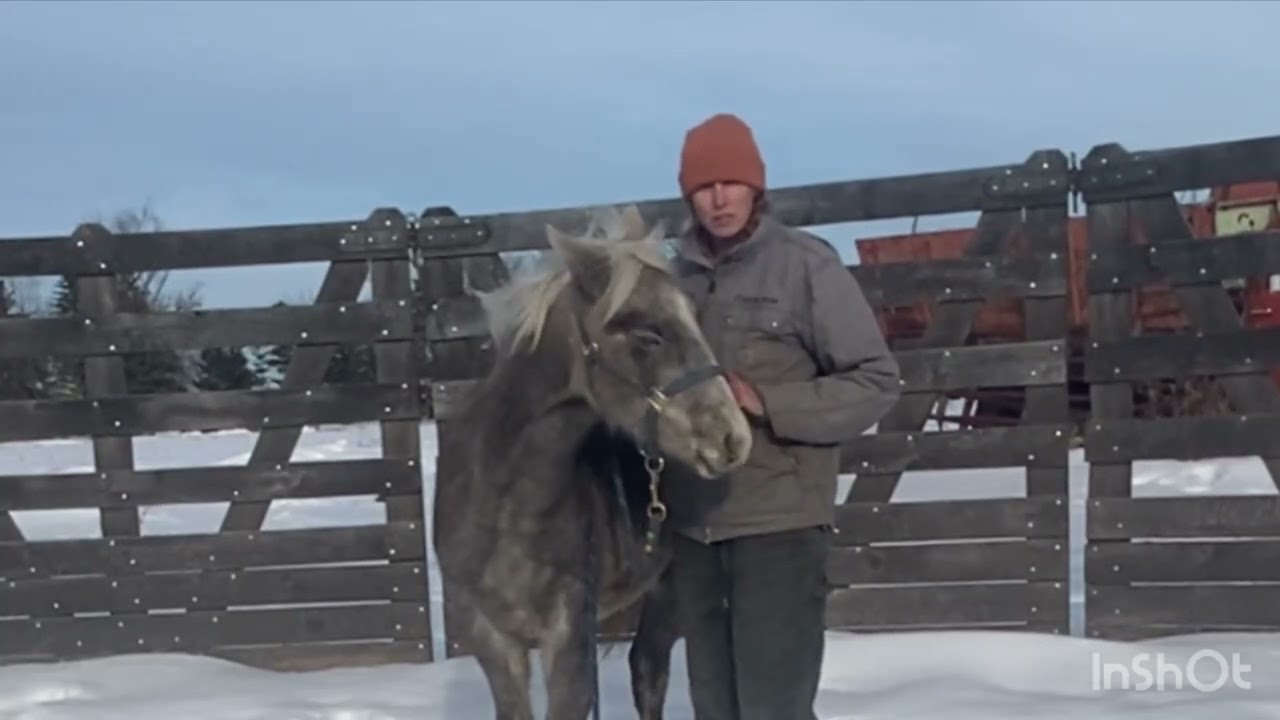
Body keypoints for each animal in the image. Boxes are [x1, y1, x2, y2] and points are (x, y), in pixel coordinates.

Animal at [433, 204, 753, 719]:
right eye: (648, 334)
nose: (732, 438)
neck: (505, 505)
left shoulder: (569, 638)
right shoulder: (493, 640)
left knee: (649, 672)